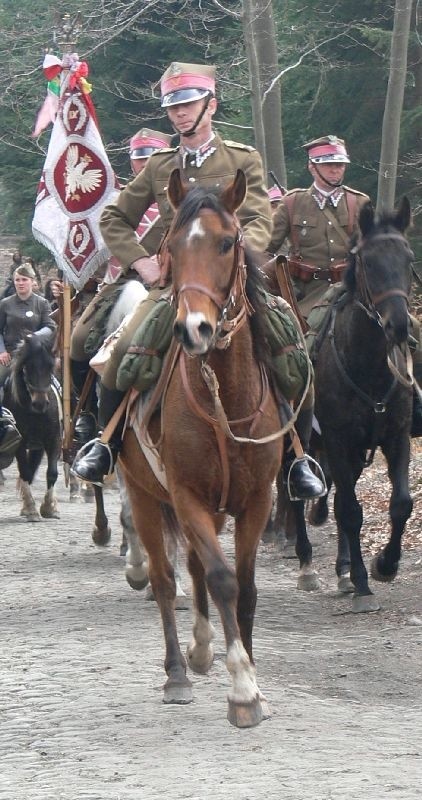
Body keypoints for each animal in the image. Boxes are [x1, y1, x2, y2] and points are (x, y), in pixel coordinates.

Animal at [3, 332, 61, 520]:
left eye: (50, 366)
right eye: (28, 367)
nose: (40, 403)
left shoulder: (53, 439)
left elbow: (52, 472)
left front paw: (49, 507)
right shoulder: (19, 443)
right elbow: (25, 472)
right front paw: (31, 509)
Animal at [118, 170, 284, 732]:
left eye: (228, 242)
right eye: (170, 246)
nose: (194, 329)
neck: (224, 400)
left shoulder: (258, 500)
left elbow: (247, 586)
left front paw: (251, 675)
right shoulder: (186, 495)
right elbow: (221, 579)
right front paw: (243, 689)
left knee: (188, 568)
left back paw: (202, 649)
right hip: (144, 495)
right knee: (167, 579)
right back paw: (177, 673)